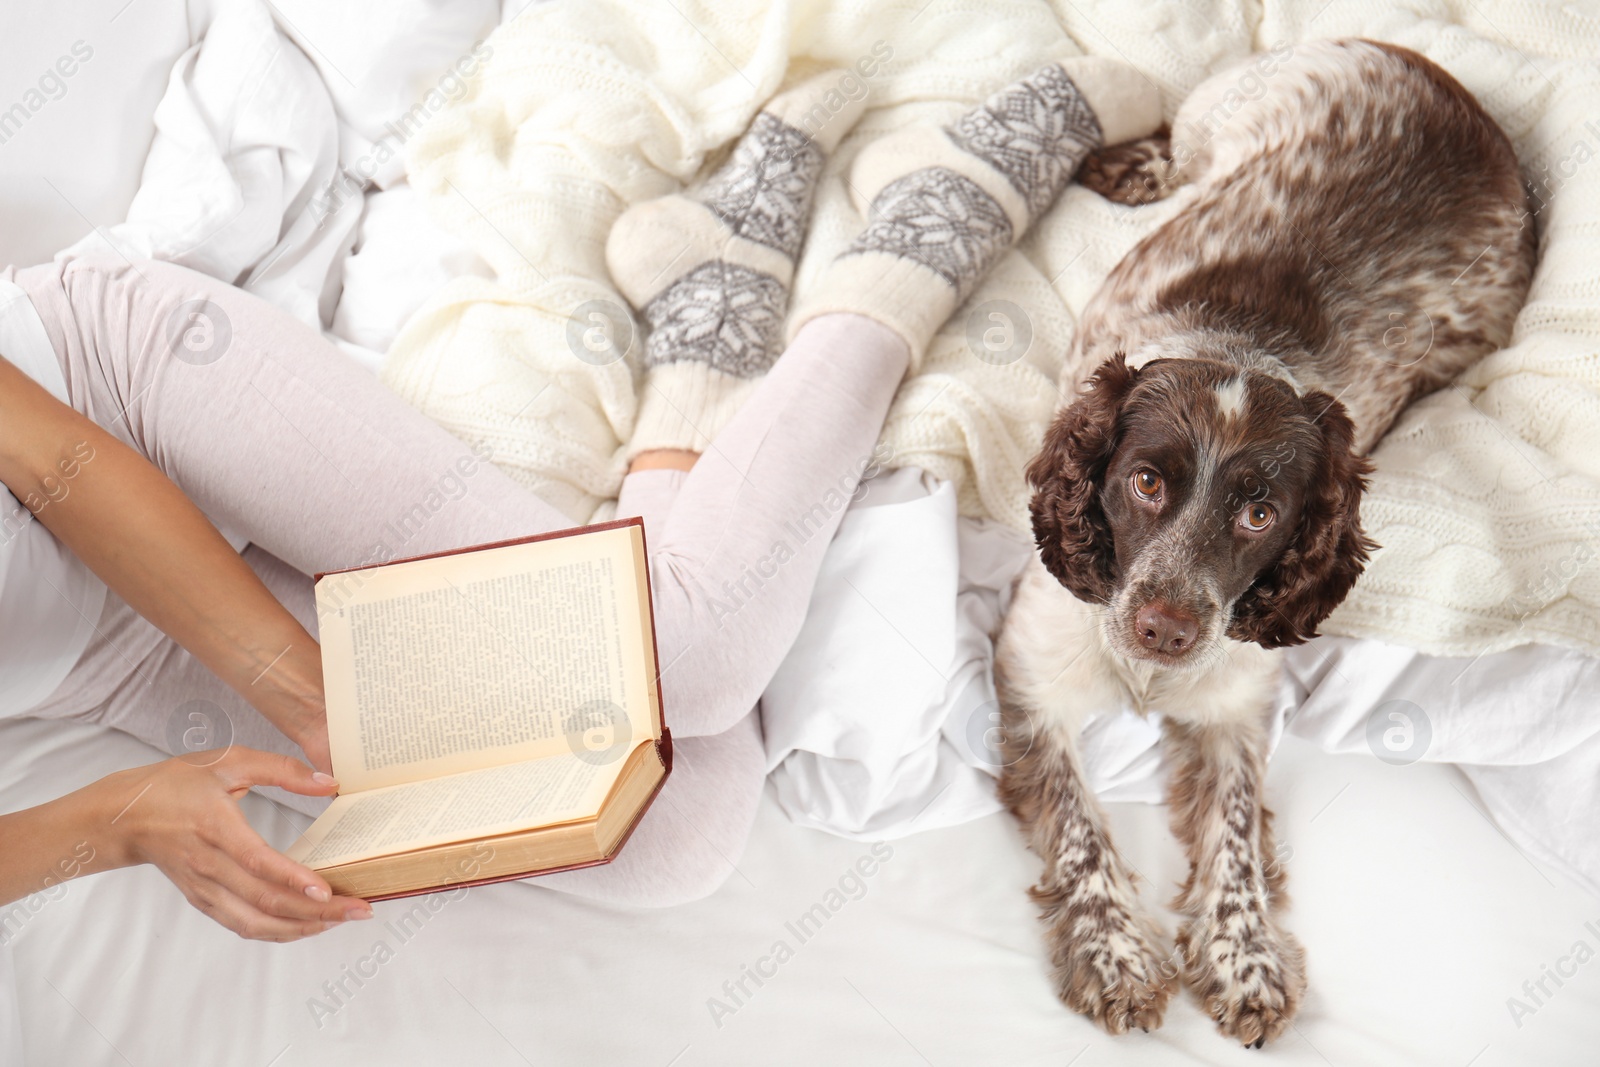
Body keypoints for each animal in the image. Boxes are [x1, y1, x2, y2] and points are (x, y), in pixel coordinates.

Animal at [992, 37, 1529, 1049]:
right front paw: (1116, 955)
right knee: (1175, 140)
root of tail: (1440, 78)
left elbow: (1236, 833)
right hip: (1226, 109)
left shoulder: (1236, 706)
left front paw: (1246, 958)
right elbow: (1081, 830)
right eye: (1145, 481)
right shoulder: (1032, 675)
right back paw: (1122, 165)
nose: (1164, 628)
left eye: (1259, 516)